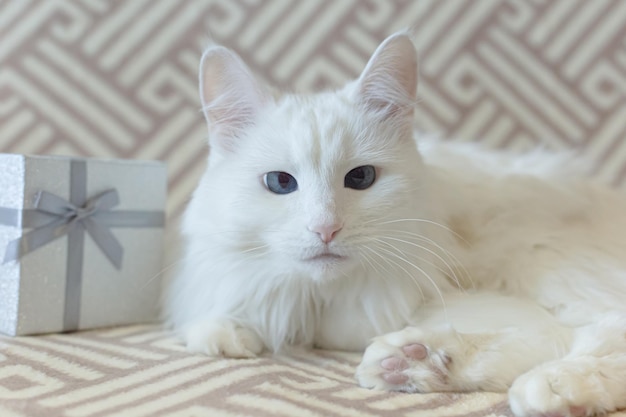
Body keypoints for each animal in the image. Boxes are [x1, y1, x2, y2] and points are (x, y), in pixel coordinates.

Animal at [165, 32, 624, 416]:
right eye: (280, 183)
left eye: (360, 178)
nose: (326, 229)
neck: (322, 302)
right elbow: (229, 313)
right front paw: (232, 331)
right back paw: (414, 364)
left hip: (543, 262)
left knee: (594, 335)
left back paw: (548, 386)